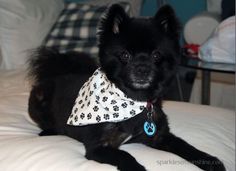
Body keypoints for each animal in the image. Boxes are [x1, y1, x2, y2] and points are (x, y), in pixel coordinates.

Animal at [28, 4, 226, 171]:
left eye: (156, 55)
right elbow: (125, 156)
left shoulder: (160, 136)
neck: (133, 100)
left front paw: (211, 161)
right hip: (37, 100)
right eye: (125, 55)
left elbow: (186, 146)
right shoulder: (98, 146)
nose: (142, 69)